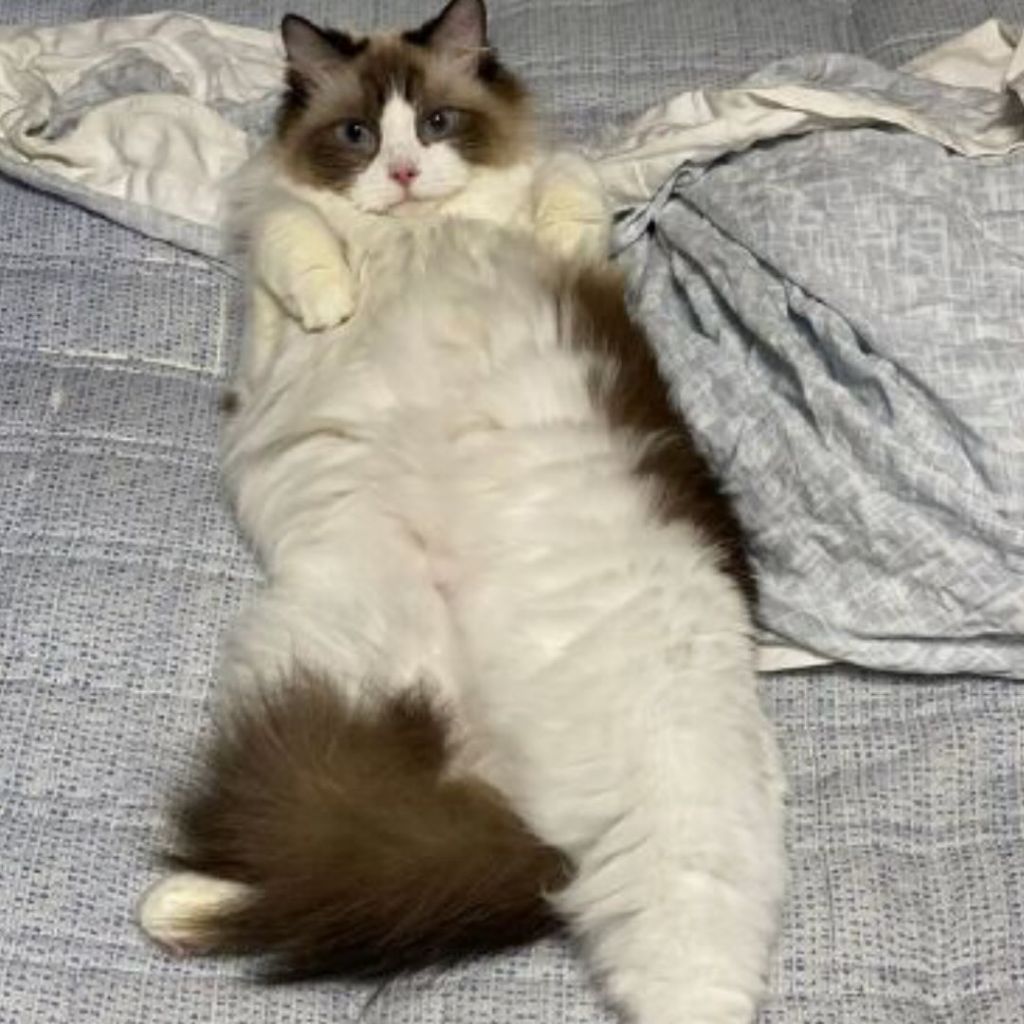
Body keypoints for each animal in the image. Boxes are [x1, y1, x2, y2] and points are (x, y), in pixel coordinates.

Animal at [137, 2, 786, 1022]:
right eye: (359, 135)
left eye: (438, 124)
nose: (404, 173)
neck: (420, 236)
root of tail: (528, 820)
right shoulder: (273, 259)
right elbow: (295, 231)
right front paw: (332, 300)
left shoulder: (554, 188)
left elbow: (575, 183)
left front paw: (560, 236)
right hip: (324, 673)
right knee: (316, 874)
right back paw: (176, 909)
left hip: (680, 834)